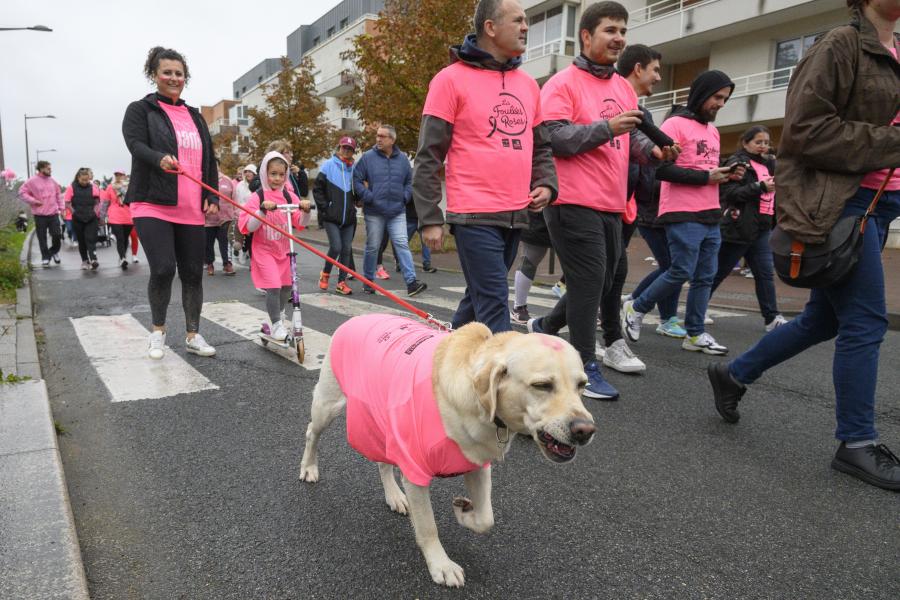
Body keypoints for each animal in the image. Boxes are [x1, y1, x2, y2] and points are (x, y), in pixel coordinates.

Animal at [298, 314, 596, 584]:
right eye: (542, 385)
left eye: (582, 385)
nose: (586, 431)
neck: (475, 404)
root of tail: (357, 317)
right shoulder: (414, 470)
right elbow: (428, 526)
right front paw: (441, 565)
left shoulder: (477, 462)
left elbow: (486, 518)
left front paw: (464, 512)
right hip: (328, 405)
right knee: (312, 431)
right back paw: (309, 467)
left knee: (383, 459)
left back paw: (393, 495)